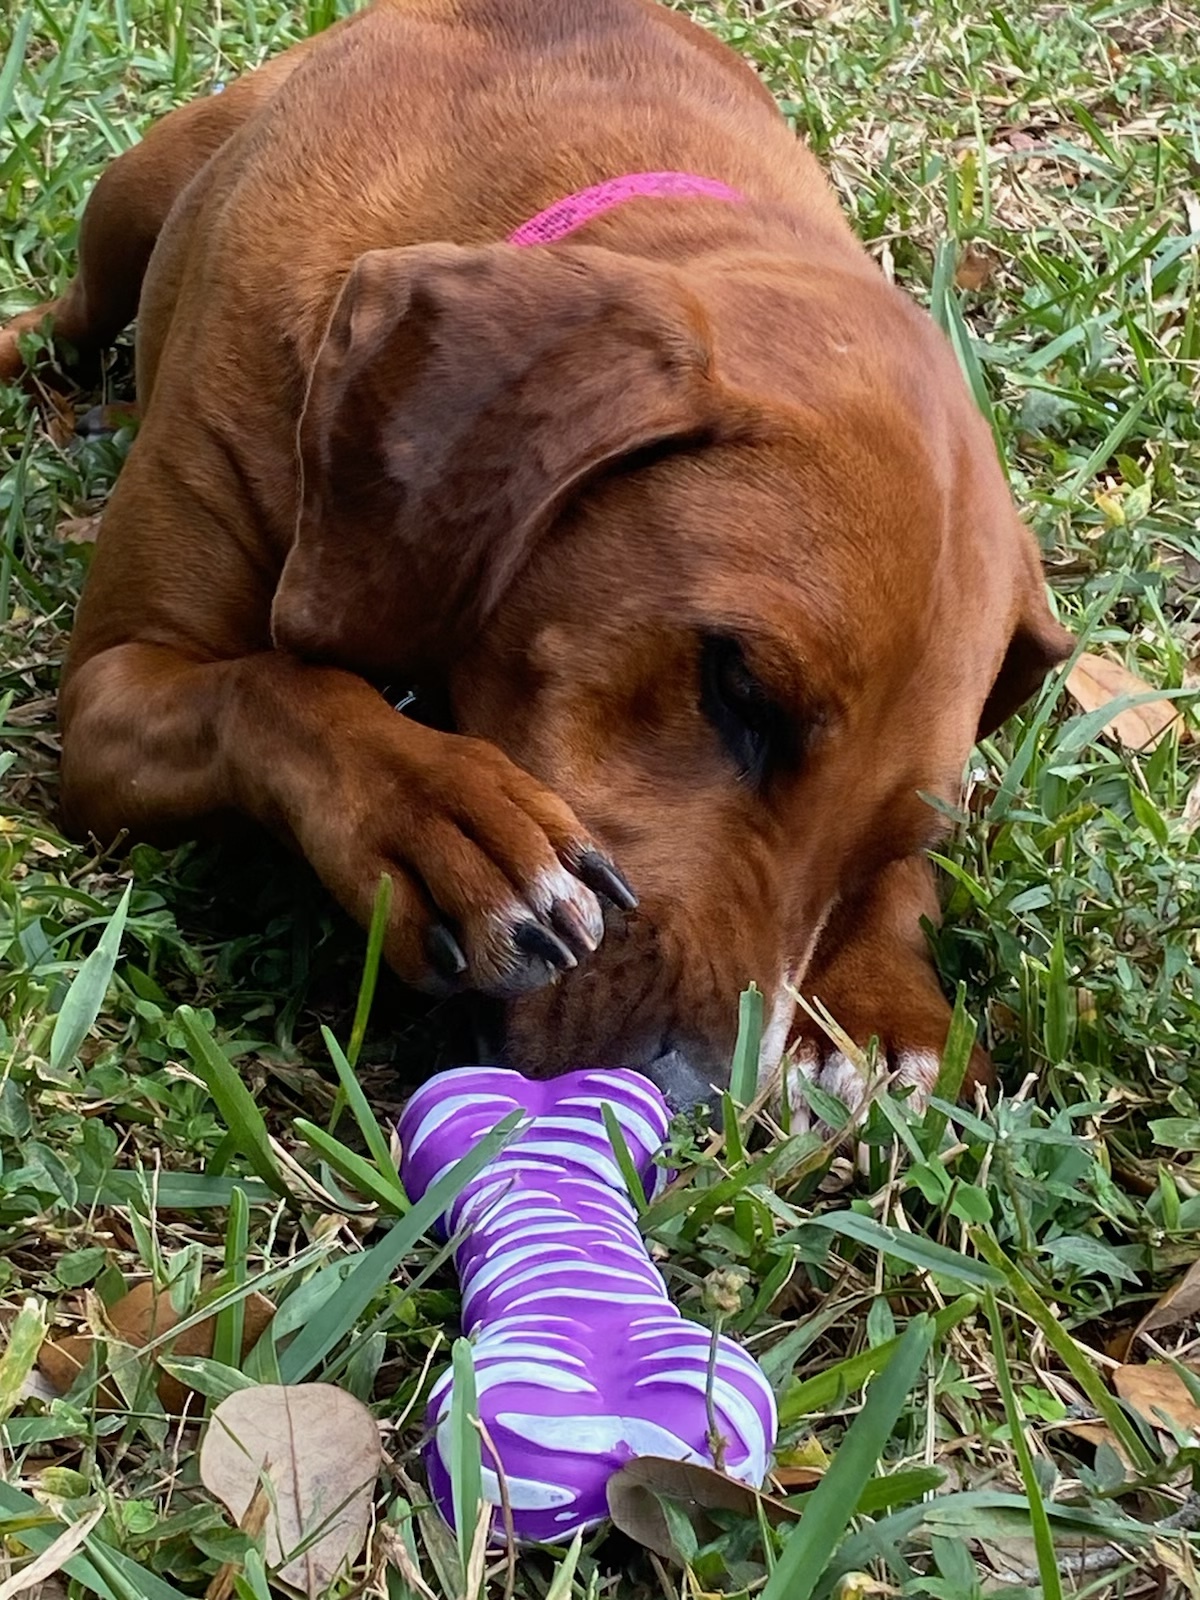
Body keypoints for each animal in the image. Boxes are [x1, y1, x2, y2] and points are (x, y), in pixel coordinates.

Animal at [0, 0, 1068, 1113]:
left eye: (906, 838)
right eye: (737, 687)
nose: (693, 1097)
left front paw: (890, 1005)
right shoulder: (111, 689)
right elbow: (276, 688)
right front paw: (443, 817)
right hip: (129, 202)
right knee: (66, 316)